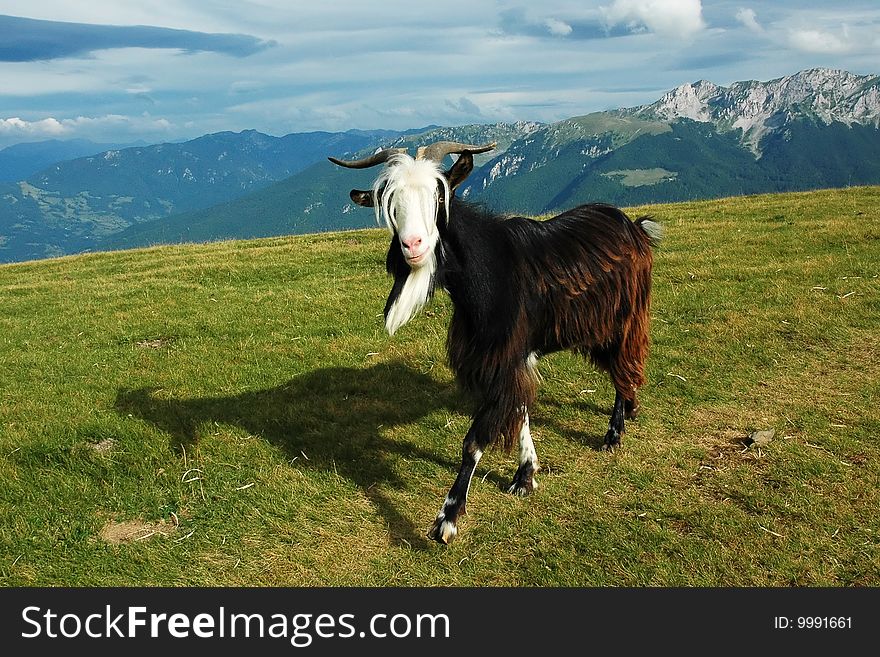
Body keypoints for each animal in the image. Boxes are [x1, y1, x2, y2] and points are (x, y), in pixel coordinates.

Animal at [330, 142, 660, 544]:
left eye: (440, 196)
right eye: (391, 202)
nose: (413, 245)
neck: (487, 274)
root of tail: (633, 225)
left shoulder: (505, 356)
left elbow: (474, 441)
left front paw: (447, 519)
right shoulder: (509, 358)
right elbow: (520, 413)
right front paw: (525, 476)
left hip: (623, 317)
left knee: (623, 365)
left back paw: (614, 432)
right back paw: (631, 408)